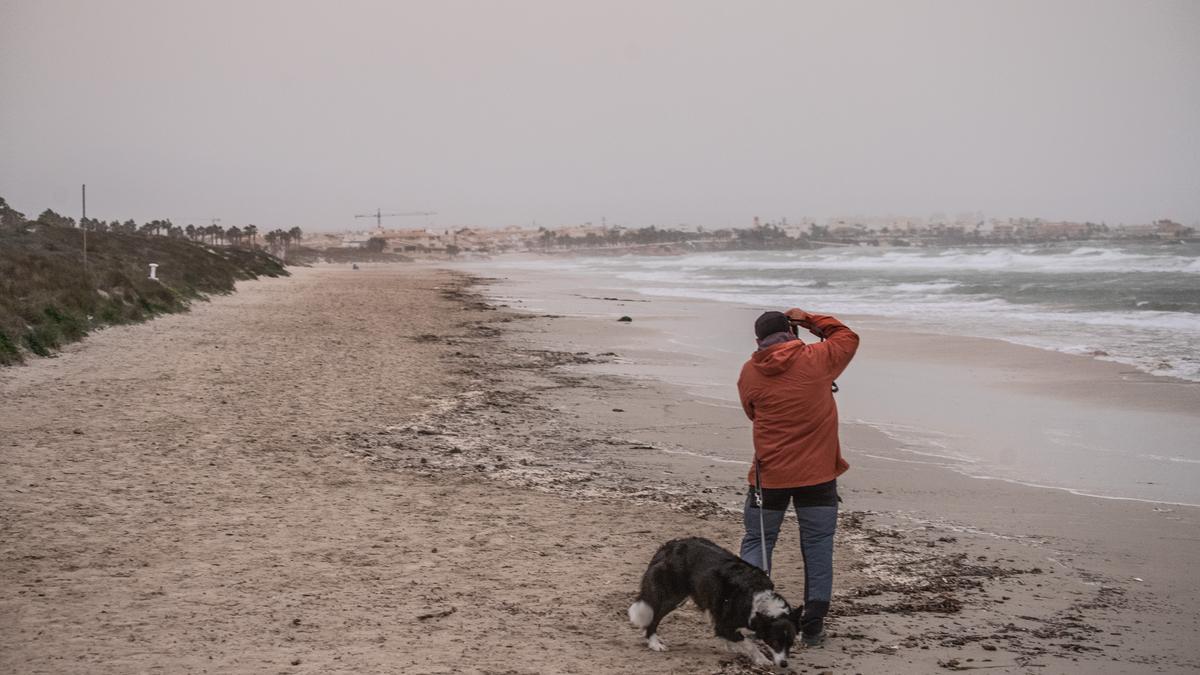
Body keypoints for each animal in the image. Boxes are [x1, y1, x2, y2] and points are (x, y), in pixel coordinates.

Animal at [628, 535, 796, 667]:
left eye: (791, 643)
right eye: (775, 642)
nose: (784, 664)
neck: (759, 601)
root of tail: (669, 546)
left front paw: (733, 646)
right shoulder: (724, 624)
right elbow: (748, 643)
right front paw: (762, 659)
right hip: (673, 596)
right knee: (654, 617)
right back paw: (654, 643)